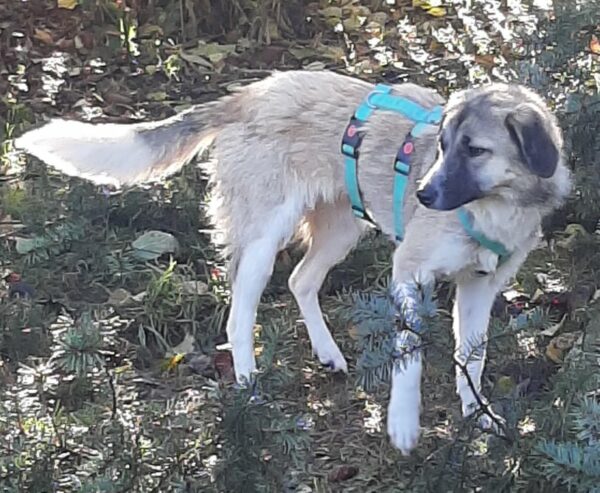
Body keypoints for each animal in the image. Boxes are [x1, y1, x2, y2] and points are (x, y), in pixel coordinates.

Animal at [15, 70, 571, 455]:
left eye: (474, 150)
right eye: (442, 145)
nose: (423, 195)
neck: (495, 205)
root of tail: (250, 93)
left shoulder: (480, 286)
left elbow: (471, 358)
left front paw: (479, 417)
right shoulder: (409, 273)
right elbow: (409, 357)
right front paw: (403, 423)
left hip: (342, 228)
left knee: (302, 279)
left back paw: (326, 353)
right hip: (263, 240)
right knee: (239, 318)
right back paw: (249, 390)